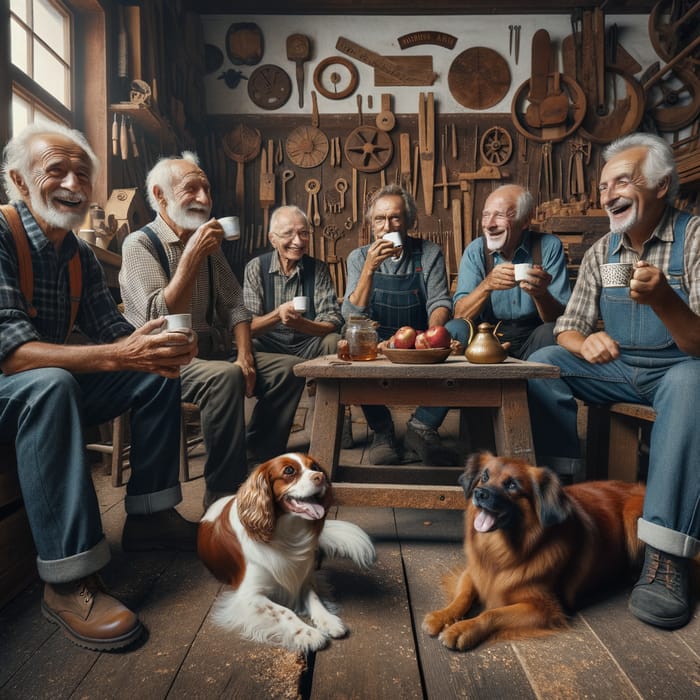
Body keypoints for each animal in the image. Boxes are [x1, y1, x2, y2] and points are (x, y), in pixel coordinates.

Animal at [197, 452, 378, 652]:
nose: (320, 477)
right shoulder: (249, 595)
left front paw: (328, 620)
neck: (287, 533)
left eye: (315, 467)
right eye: (289, 471)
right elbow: (284, 611)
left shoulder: (303, 579)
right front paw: (308, 633)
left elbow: (315, 598)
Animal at [422, 454, 644, 652]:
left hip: (633, 516)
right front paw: (442, 616)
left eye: (512, 485)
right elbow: (463, 595)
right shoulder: (474, 572)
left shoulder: (544, 608)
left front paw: (462, 629)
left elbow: (492, 613)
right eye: (484, 477)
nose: (479, 493)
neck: (501, 552)